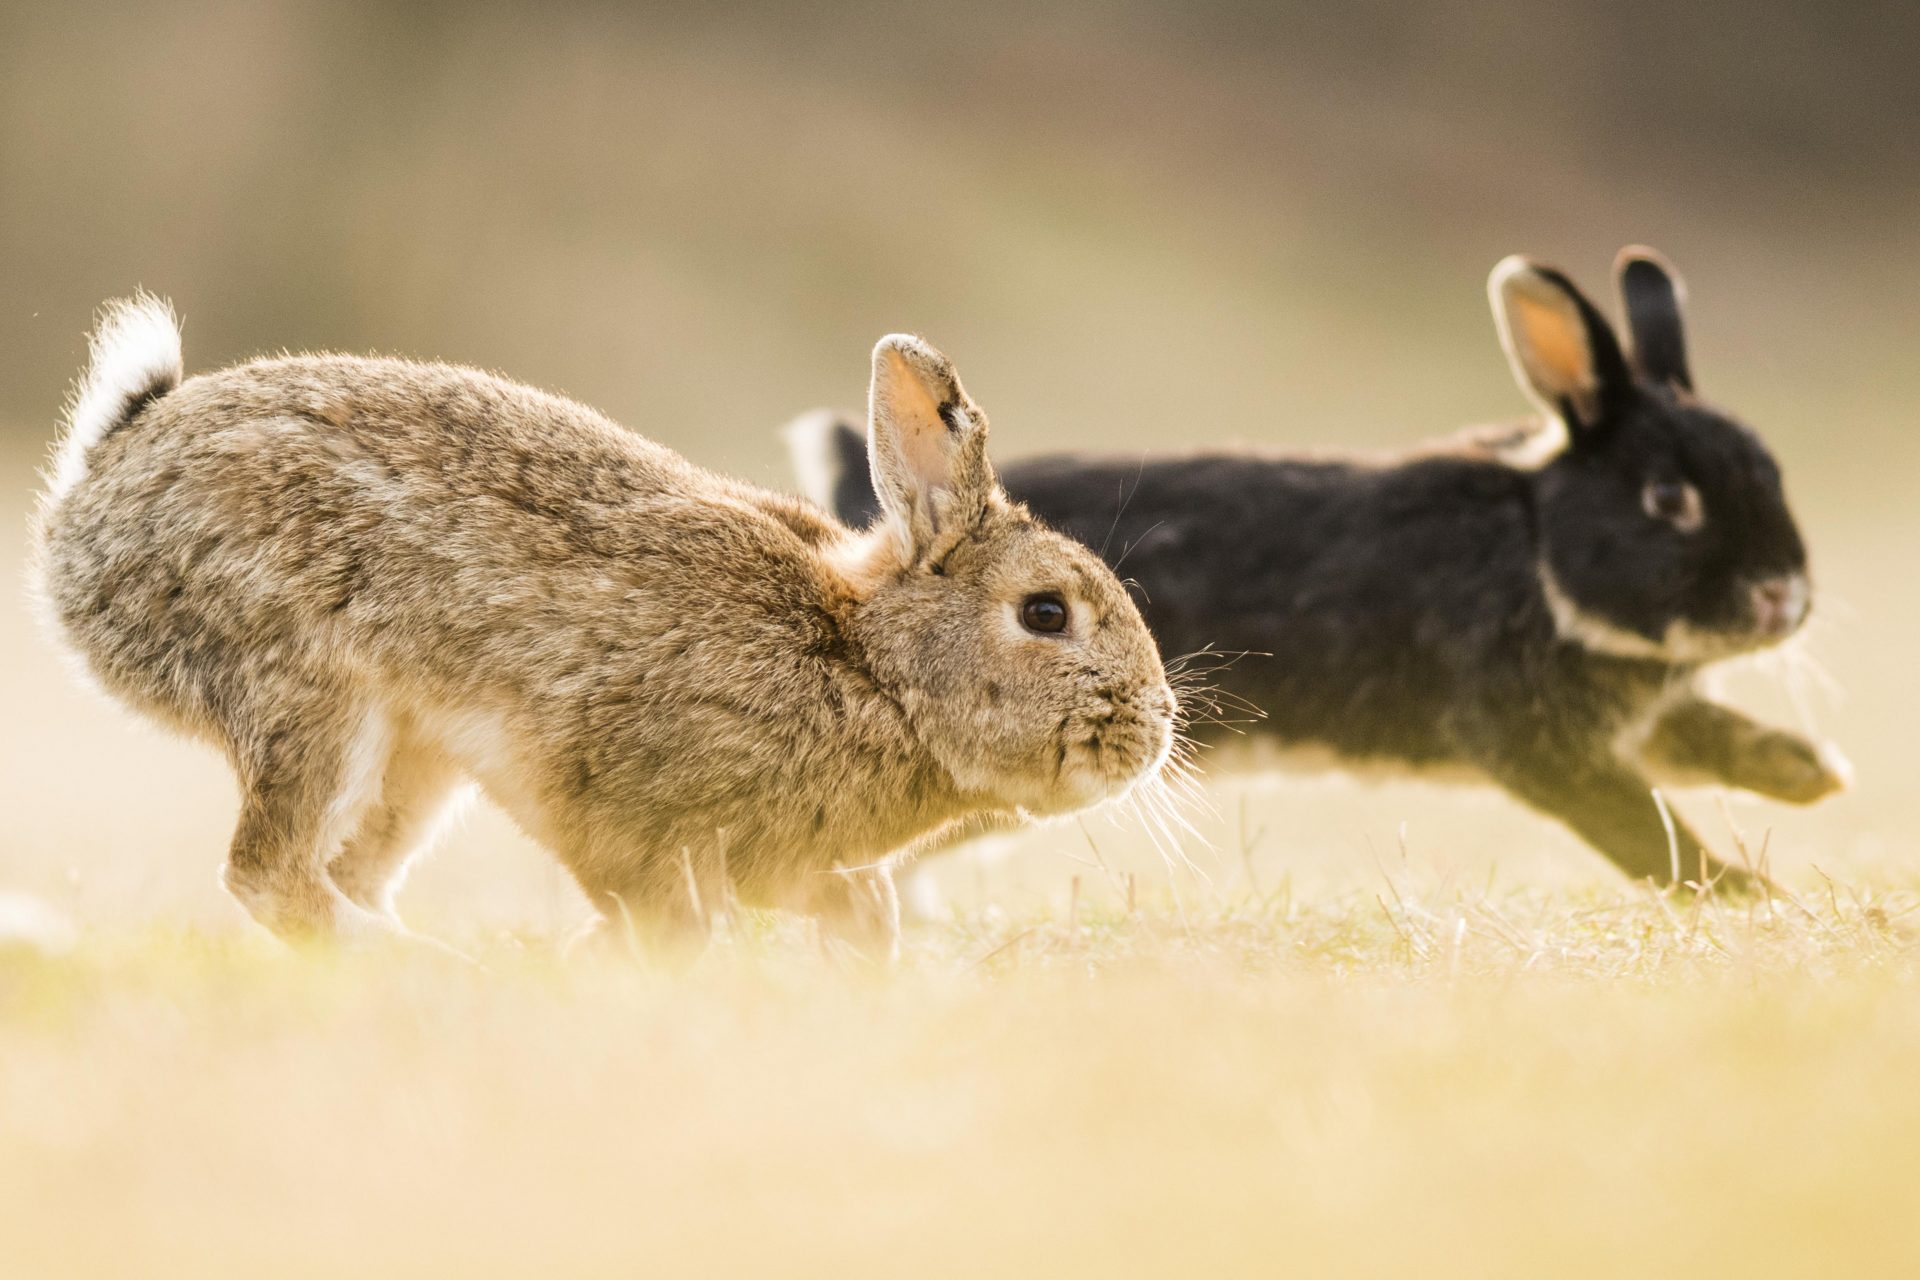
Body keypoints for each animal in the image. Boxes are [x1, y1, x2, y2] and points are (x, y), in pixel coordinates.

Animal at [30, 301, 1175, 955]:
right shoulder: (615, 798)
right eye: (1044, 612)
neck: (871, 665)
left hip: (413, 762)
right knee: (270, 875)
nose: (1156, 726)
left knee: (340, 875)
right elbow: (655, 907)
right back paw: (440, 972)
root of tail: (98, 492)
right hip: (312, 693)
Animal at [791, 249, 1843, 890]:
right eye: (1669, 500)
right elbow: (1641, 823)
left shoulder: (1636, 713)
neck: (1538, 545)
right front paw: (1745, 892)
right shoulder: (1532, 736)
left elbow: (1697, 740)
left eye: (1773, 470)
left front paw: (1813, 774)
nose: (1783, 596)